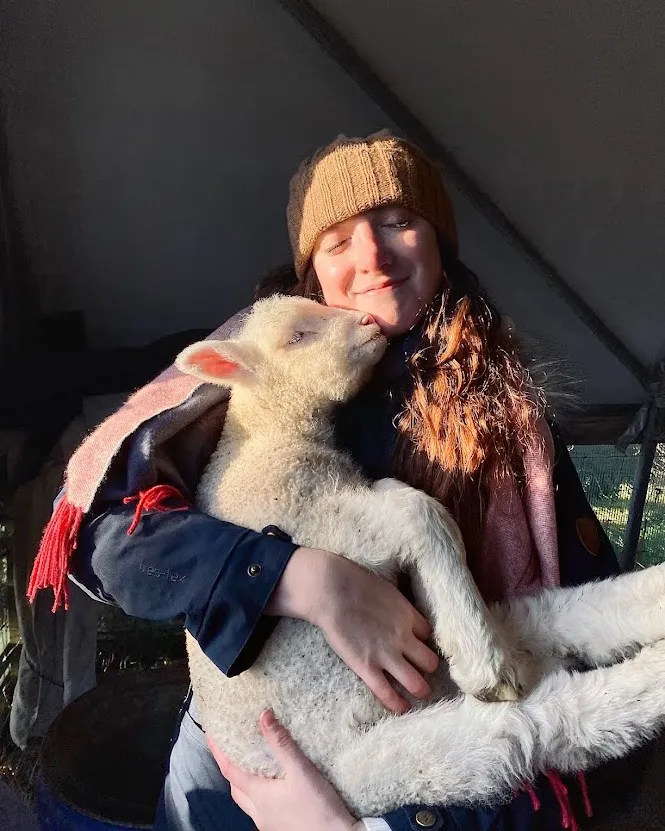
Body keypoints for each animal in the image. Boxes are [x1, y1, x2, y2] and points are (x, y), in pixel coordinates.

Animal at [175, 294, 664, 820]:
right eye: (296, 337)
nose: (367, 322)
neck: (267, 439)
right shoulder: (318, 525)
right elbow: (421, 512)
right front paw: (470, 647)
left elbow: (411, 505)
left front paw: (443, 611)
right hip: (388, 761)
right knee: (541, 725)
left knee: (569, 613)